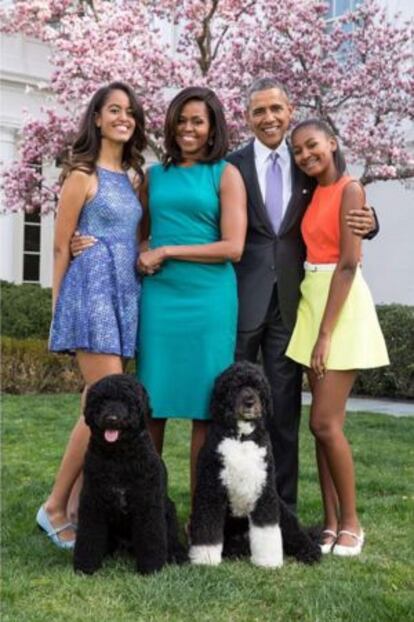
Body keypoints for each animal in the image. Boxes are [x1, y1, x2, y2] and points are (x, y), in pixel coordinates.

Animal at [73, 372, 187, 576]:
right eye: (102, 400)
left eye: (126, 400)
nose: (112, 418)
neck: (119, 457)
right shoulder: (93, 502)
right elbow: (89, 536)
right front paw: (85, 565)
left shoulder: (147, 504)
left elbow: (151, 538)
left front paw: (151, 567)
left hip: (169, 510)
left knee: (172, 539)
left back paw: (177, 555)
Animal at [189, 360, 322, 572]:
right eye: (236, 386)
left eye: (259, 387)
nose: (250, 402)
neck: (242, 438)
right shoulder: (211, 490)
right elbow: (207, 529)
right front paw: (206, 559)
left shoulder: (264, 492)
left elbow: (266, 530)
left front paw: (268, 561)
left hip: (283, 512)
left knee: (298, 535)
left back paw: (310, 552)